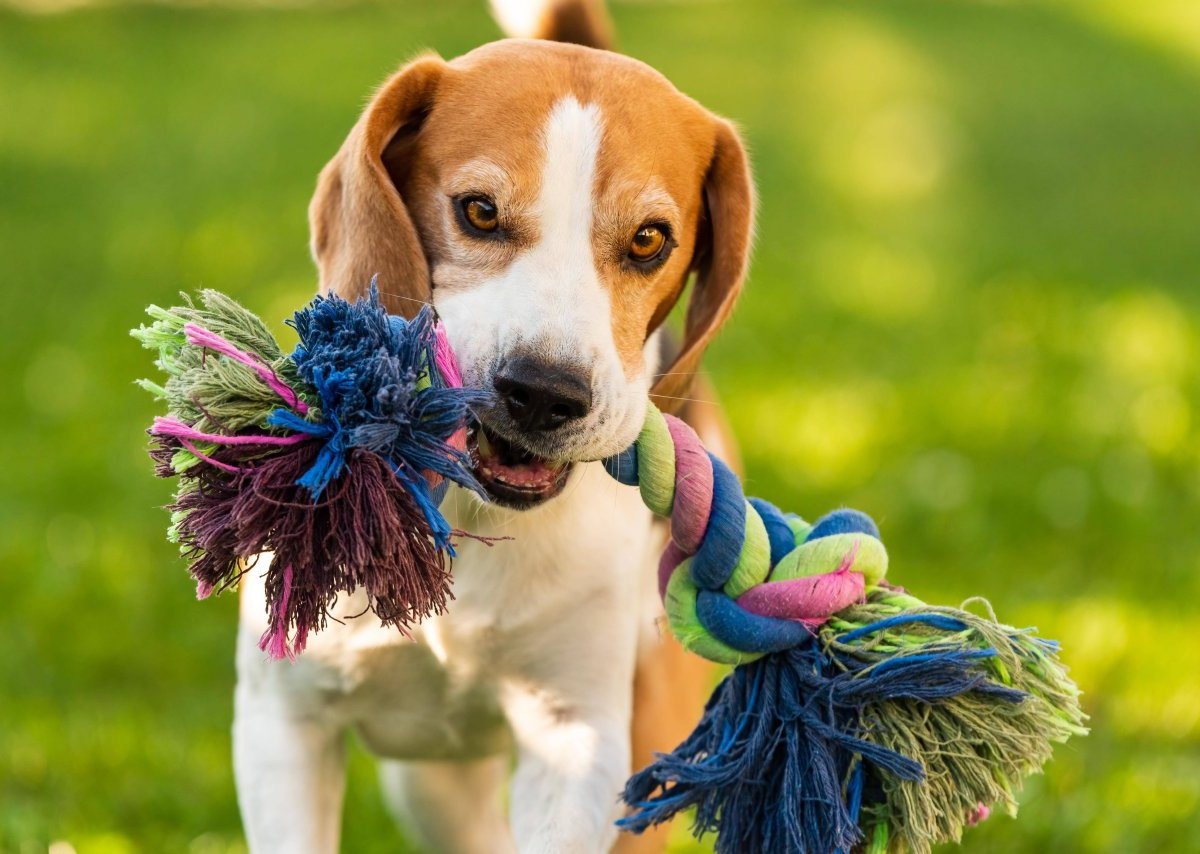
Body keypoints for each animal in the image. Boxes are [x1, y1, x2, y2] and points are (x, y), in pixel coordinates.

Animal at [234, 3, 753, 849]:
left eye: (650, 240)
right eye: (478, 211)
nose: (544, 393)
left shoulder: (577, 738)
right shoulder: (283, 722)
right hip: (427, 788)